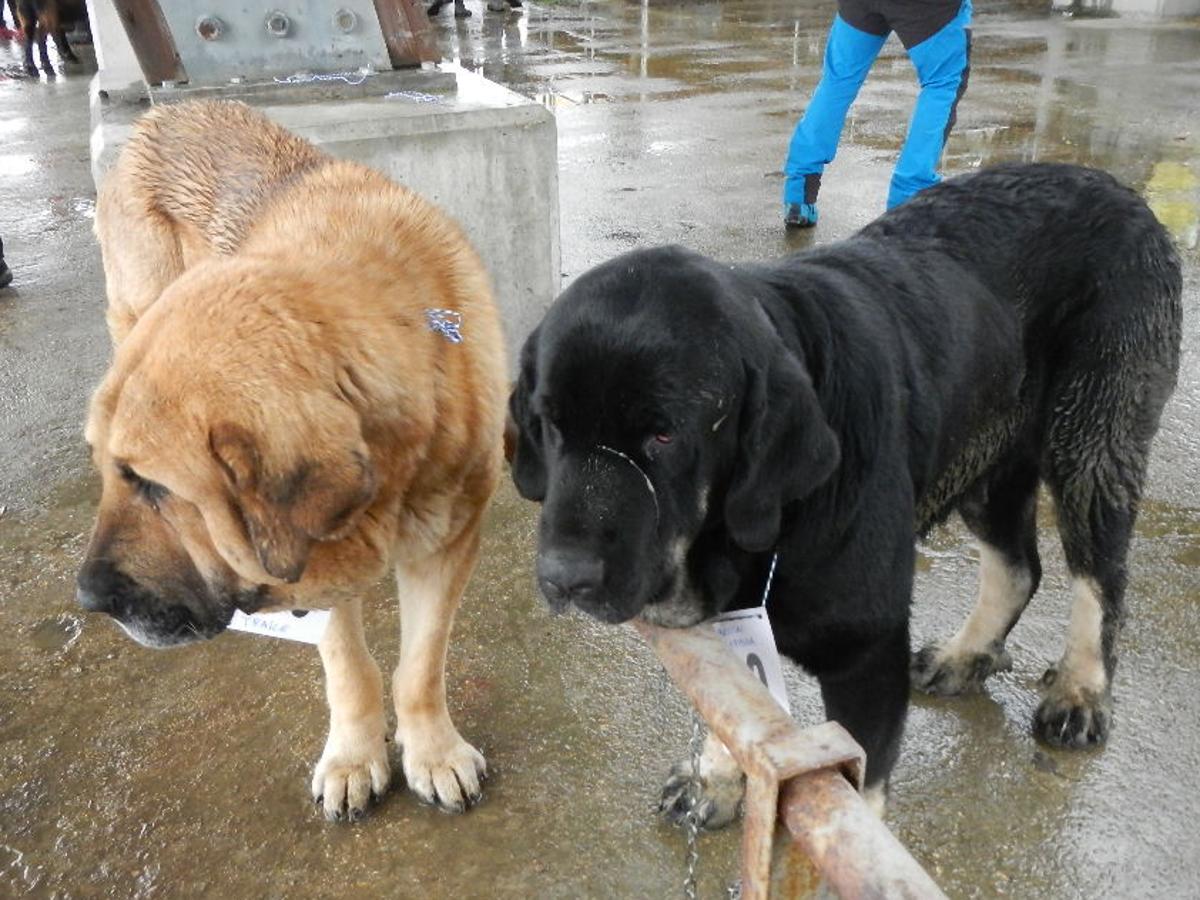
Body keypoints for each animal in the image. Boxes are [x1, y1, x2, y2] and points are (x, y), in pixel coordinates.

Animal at [78, 100, 511, 825]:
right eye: (119, 476)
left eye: (153, 485)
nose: (88, 599)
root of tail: (161, 114)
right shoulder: (313, 564)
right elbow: (351, 666)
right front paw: (354, 758)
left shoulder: (445, 545)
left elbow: (419, 667)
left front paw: (432, 752)